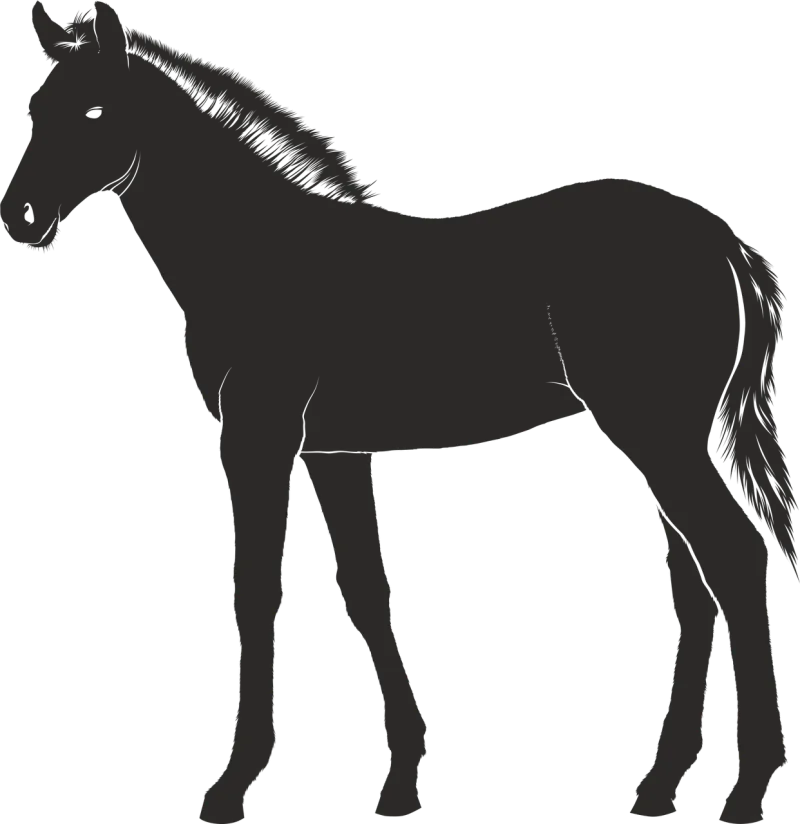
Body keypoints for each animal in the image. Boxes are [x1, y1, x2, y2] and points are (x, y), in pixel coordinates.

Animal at [0, 3, 794, 822]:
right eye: (33, 108)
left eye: (97, 110)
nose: (21, 222)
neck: (258, 255)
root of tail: (723, 243)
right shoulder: (335, 450)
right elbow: (363, 587)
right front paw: (400, 781)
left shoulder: (258, 440)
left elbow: (259, 588)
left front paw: (232, 782)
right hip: (663, 438)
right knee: (695, 580)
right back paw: (660, 784)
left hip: (661, 433)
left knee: (731, 562)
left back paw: (747, 788)